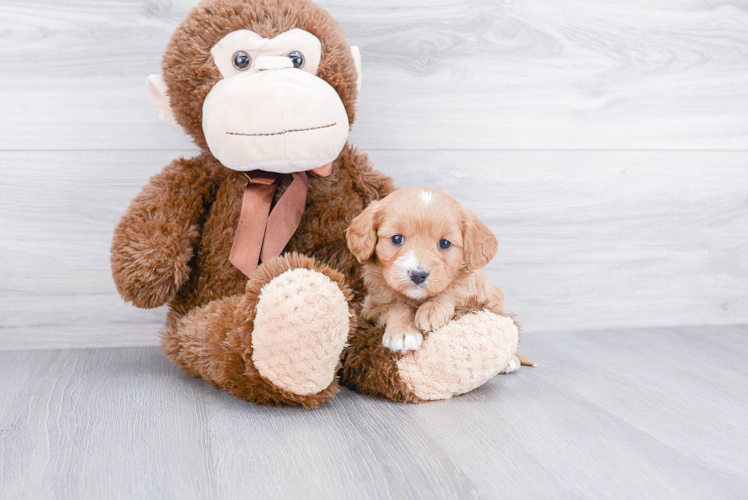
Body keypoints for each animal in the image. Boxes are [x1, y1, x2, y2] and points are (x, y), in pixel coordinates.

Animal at [348, 186, 506, 354]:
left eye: (444, 243)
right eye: (396, 239)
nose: (418, 275)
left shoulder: (477, 298)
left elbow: (454, 290)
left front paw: (432, 310)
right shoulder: (369, 309)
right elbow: (396, 306)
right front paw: (403, 333)